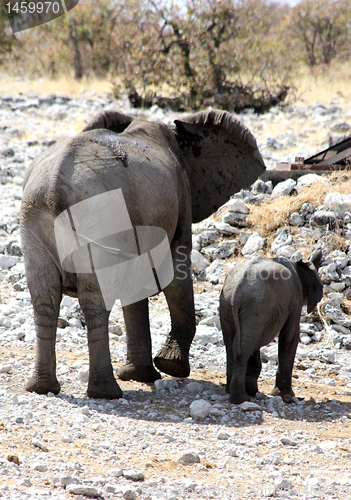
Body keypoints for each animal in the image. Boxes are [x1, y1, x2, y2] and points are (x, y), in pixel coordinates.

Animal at [20, 109, 266, 398]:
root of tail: (54, 188)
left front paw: (141, 374)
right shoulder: (180, 194)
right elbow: (176, 271)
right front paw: (171, 367)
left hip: (35, 219)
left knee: (45, 299)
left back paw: (42, 388)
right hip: (99, 217)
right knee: (95, 300)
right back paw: (106, 392)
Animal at [221, 252, 324, 404]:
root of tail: (235, 291)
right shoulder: (295, 298)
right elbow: (290, 337)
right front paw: (287, 396)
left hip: (227, 305)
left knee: (235, 344)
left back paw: (235, 392)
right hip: (257, 307)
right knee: (243, 348)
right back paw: (241, 398)